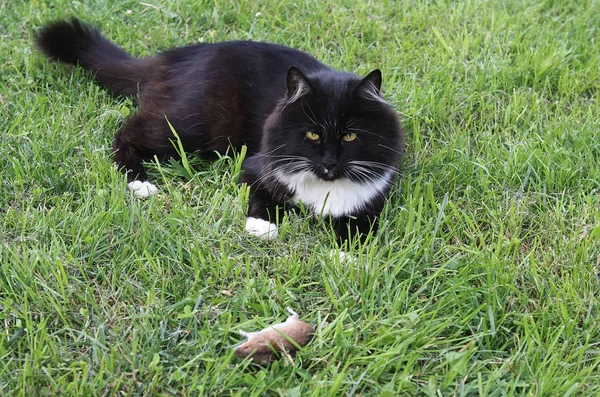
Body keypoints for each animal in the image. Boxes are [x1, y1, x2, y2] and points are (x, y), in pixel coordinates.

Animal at [36, 18, 404, 243]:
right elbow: (261, 197)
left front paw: (347, 254)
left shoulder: (374, 196)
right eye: (312, 134)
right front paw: (262, 227)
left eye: (350, 136)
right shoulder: (256, 166)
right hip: (192, 125)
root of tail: (172, 58)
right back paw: (140, 182)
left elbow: (361, 224)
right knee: (127, 134)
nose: (329, 162)